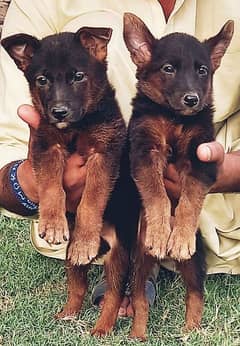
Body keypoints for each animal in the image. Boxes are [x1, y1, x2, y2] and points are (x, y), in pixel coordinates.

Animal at [1, 28, 139, 336]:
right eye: (42, 80)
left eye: (78, 76)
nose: (59, 112)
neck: (77, 126)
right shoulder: (45, 144)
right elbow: (51, 186)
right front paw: (52, 222)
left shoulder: (105, 153)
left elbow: (91, 199)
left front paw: (86, 236)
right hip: (71, 258)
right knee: (78, 286)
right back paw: (68, 313)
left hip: (119, 255)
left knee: (113, 294)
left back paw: (102, 328)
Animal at [124, 12, 234, 340]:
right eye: (168, 69)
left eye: (202, 71)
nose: (192, 99)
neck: (174, 118)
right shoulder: (144, 152)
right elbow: (157, 195)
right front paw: (161, 233)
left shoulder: (202, 158)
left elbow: (189, 200)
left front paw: (180, 235)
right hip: (140, 264)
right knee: (139, 300)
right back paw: (138, 334)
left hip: (194, 264)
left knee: (195, 295)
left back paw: (191, 330)